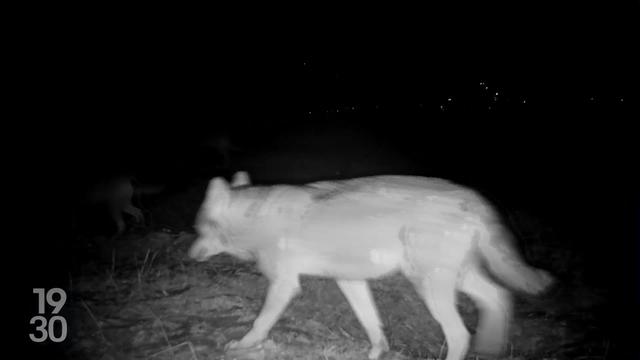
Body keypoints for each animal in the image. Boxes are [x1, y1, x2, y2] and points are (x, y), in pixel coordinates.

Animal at [188, 172, 552, 360]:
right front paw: (377, 352)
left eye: (197, 228)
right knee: (500, 297)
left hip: (431, 289)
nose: (189, 255)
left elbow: (260, 322)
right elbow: (372, 325)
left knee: (460, 334)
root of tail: (474, 197)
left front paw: (243, 346)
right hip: (455, 280)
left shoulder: (284, 284)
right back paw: (491, 349)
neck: (257, 216)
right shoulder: (350, 282)